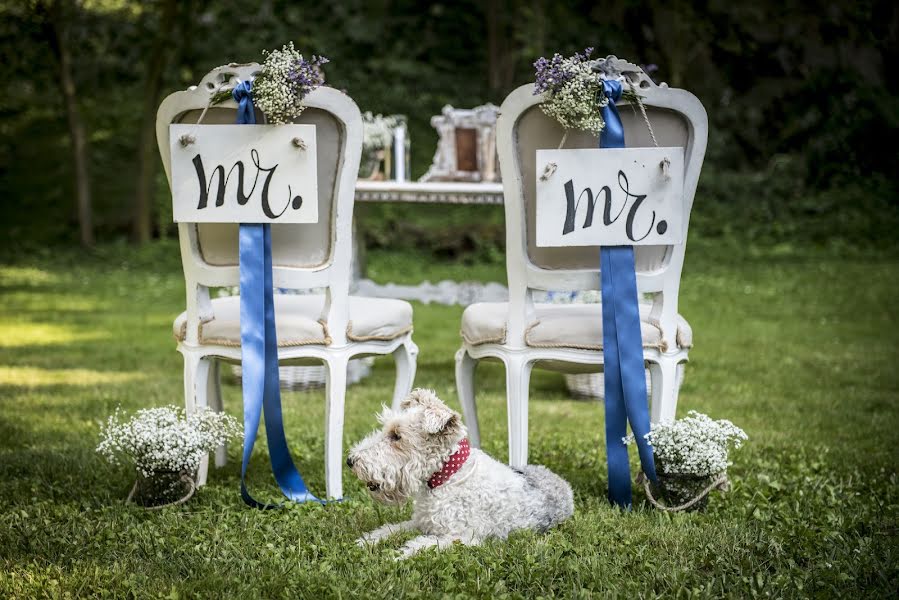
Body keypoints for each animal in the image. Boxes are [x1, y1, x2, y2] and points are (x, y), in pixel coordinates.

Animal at [348, 390, 572, 556]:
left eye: (397, 436)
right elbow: (389, 529)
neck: (447, 477)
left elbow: (419, 545)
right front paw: (364, 542)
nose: (350, 461)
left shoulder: (461, 537)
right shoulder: (420, 522)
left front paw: (394, 556)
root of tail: (562, 482)